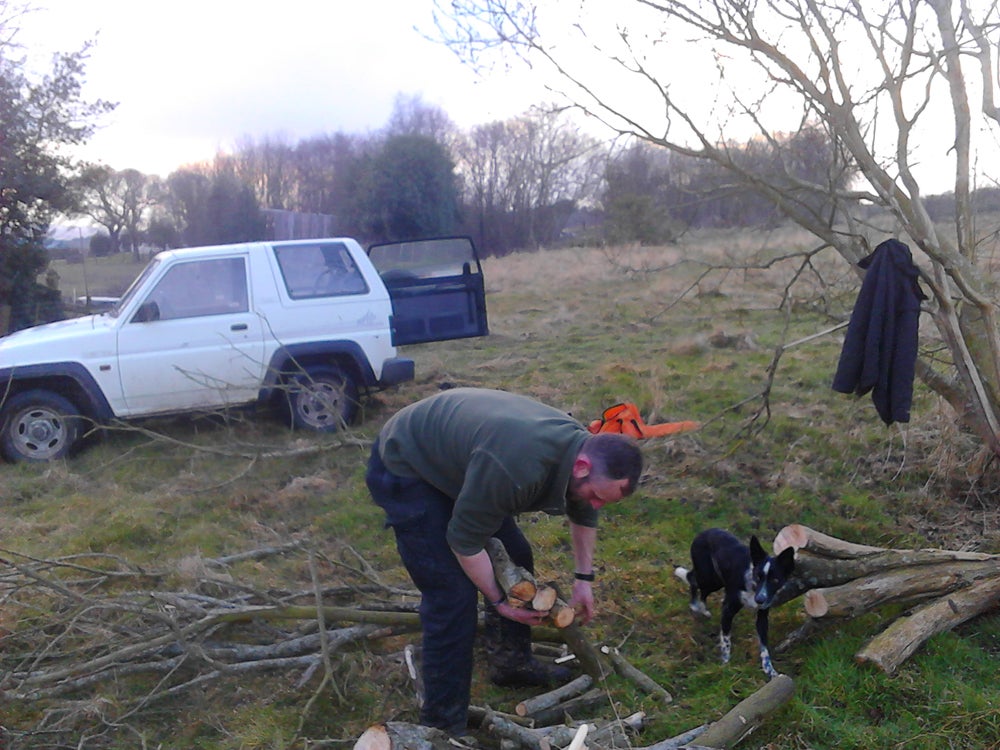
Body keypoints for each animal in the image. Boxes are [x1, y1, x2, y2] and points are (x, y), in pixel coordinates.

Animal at [676, 528, 792, 680]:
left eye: (775, 580)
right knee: (693, 580)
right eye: (758, 576)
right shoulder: (728, 609)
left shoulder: (762, 616)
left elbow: (764, 647)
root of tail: (705, 532)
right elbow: (726, 641)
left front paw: (770, 671)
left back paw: (703, 609)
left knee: (702, 590)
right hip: (708, 576)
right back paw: (695, 605)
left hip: (716, 581)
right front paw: (725, 665)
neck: (752, 588)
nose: (760, 599)